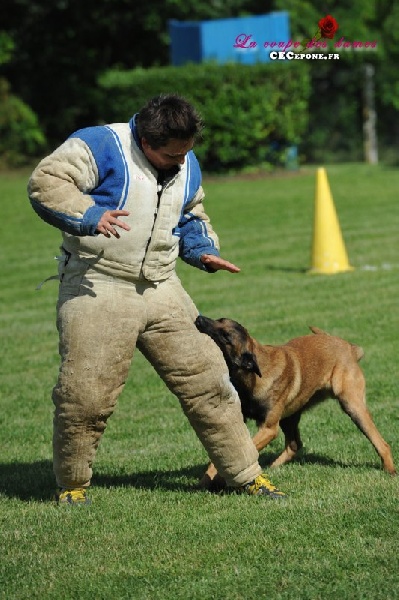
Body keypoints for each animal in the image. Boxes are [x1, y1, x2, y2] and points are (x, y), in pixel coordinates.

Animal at [195, 314, 396, 488]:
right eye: (219, 319)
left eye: (226, 336)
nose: (199, 318)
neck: (253, 374)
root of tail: (349, 347)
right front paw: (207, 479)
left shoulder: (269, 429)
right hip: (290, 417)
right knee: (294, 445)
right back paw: (273, 467)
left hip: (352, 406)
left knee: (381, 443)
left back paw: (390, 471)